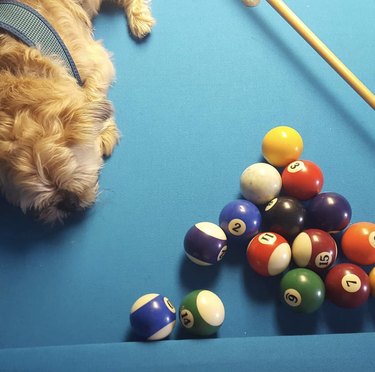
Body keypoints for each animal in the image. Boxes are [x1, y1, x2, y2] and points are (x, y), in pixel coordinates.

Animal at [0, 0, 156, 222]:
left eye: (73, 172)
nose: (68, 204)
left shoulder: (96, 61)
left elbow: (92, 95)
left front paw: (102, 132)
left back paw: (140, 19)